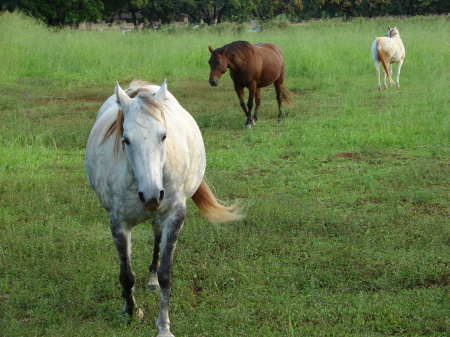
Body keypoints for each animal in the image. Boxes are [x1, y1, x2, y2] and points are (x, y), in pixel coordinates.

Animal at [85, 79, 243, 336]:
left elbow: (166, 273)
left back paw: (153, 281)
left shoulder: (174, 217)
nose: (151, 196)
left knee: (157, 238)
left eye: (163, 136)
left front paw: (164, 326)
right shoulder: (118, 224)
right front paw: (131, 311)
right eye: (126, 140)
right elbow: (126, 274)